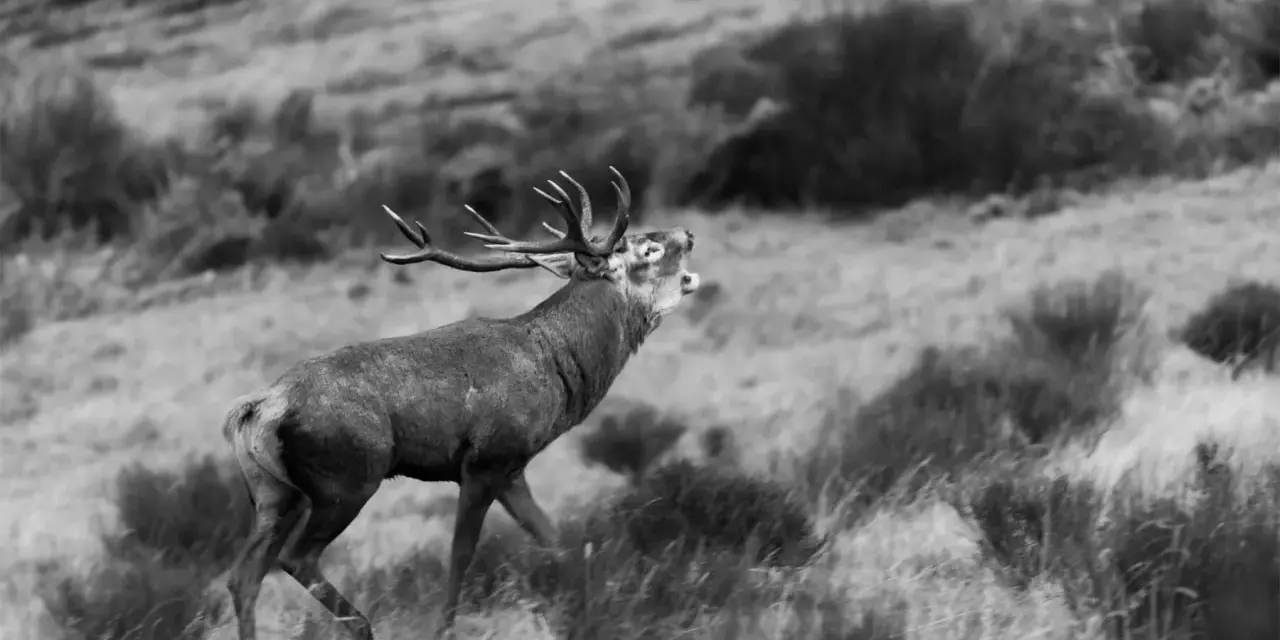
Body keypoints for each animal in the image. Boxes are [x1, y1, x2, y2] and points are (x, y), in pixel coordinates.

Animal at [221, 166, 700, 640]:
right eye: (649, 249)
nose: (689, 232)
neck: (556, 370)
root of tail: (259, 409)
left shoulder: (512, 469)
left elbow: (555, 539)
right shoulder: (485, 460)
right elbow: (461, 554)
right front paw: (445, 629)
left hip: (274, 494)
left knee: (244, 576)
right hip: (346, 477)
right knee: (296, 559)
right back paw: (362, 625)